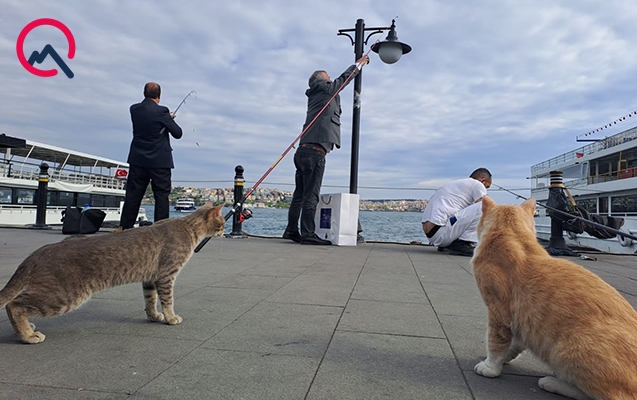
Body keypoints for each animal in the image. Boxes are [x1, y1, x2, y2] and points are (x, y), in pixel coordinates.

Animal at [0, 203, 225, 344]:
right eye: (223, 222)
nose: (224, 231)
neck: (188, 227)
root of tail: (39, 251)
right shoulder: (166, 275)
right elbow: (168, 300)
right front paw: (171, 318)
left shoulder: (150, 278)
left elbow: (150, 300)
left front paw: (153, 316)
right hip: (65, 296)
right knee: (14, 305)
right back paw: (28, 336)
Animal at [472, 196, 637, 400]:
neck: (513, 236)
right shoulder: (522, 320)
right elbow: (514, 344)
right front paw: (506, 358)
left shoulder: (499, 313)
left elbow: (495, 342)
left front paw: (490, 366)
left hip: (568, 351)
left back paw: (553, 383)